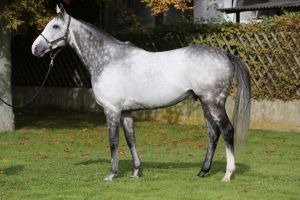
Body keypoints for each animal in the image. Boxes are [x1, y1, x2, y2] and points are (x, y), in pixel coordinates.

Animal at [31, 5, 251, 181]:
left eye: (55, 26)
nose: (35, 48)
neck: (109, 59)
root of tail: (226, 55)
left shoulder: (112, 110)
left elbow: (113, 141)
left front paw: (111, 174)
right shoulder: (126, 112)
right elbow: (130, 140)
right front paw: (136, 172)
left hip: (214, 102)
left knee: (227, 130)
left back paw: (227, 174)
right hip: (206, 103)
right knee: (213, 134)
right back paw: (202, 172)